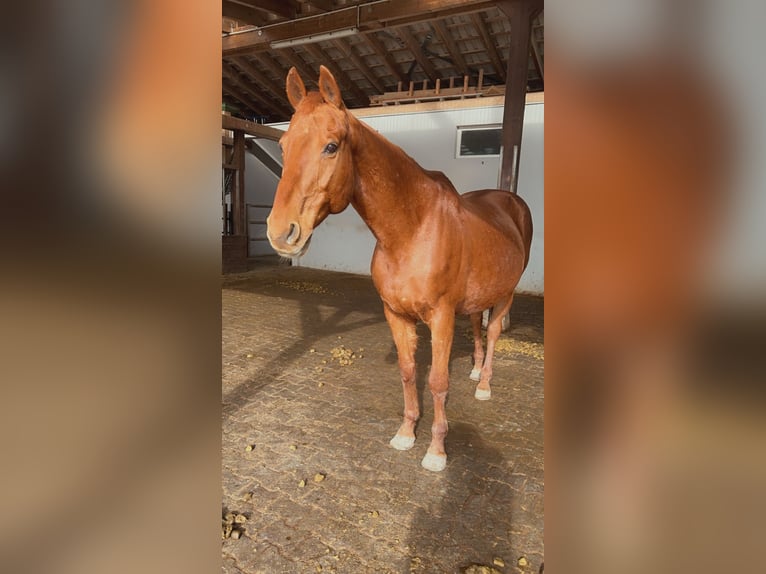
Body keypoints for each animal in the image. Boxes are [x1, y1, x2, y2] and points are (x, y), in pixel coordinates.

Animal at [270, 67, 536, 472]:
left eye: (331, 146)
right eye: (283, 146)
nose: (280, 233)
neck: (412, 229)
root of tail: (510, 201)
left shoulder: (441, 317)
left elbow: (438, 381)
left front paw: (436, 450)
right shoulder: (395, 314)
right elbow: (408, 371)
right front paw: (407, 432)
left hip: (506, 293)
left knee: (492, 334)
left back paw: (484, 385)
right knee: (478, 325)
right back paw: (475, 370)